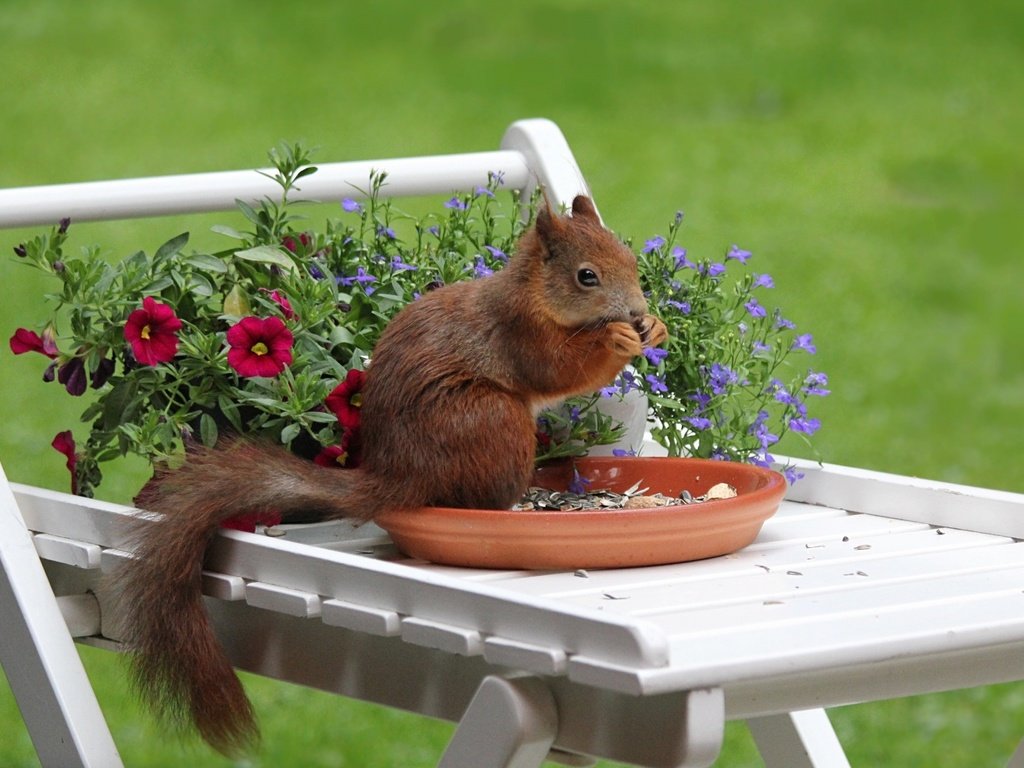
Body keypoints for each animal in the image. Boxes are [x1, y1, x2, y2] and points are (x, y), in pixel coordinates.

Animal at [116, 193, 671, 757]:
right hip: (493, 418)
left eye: (629, 259)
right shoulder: (521, 334)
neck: (534, 295)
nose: (636, 311)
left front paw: (657, 327)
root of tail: (400, 475)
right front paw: (616, 338)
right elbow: (560, 369)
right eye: (586, 276)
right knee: (477, 500)